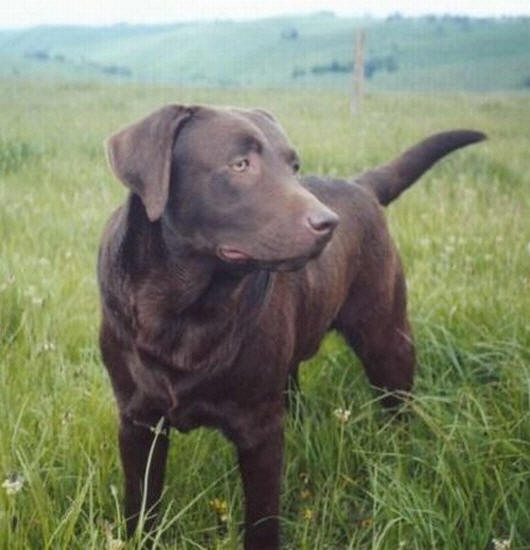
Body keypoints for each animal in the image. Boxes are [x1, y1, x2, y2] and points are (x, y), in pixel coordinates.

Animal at [97, 104, 484, 550]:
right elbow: (142, 504)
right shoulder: (138, 421)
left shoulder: (259, 430)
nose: (328, 223)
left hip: (387, 339)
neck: (184, 309)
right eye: (240, 164)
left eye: (294, 167)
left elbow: (263, 517)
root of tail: (361, 186)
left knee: (399, 408)